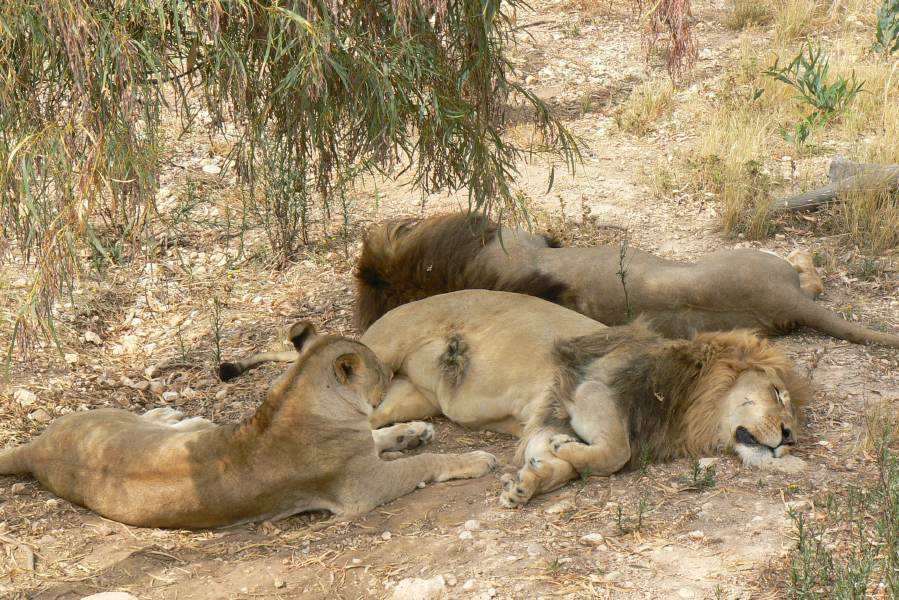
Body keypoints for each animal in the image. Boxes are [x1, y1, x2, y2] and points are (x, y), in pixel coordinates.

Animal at [0, 324, 496, 528]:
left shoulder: (363, 450)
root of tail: (34, 448)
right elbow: (424, 464)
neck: (296, 392)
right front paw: (475, 459)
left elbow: (381, 436)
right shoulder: (364, 488)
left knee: (151, 418)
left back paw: (176, 416)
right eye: (378, 367)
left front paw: (413, 432)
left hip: (110, 418)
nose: (392, 374)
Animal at [219, 291, 809, 506]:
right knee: (294, 381)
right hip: (379, 356)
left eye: (792, 410)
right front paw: (562, 462)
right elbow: (614, 453)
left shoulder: (550, 418)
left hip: (402, 397)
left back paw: (411, 438)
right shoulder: (589, 388)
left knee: (369, 425)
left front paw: (533, 481)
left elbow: (565, 460)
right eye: (777, 393)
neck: (687, 405)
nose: (789, 436)